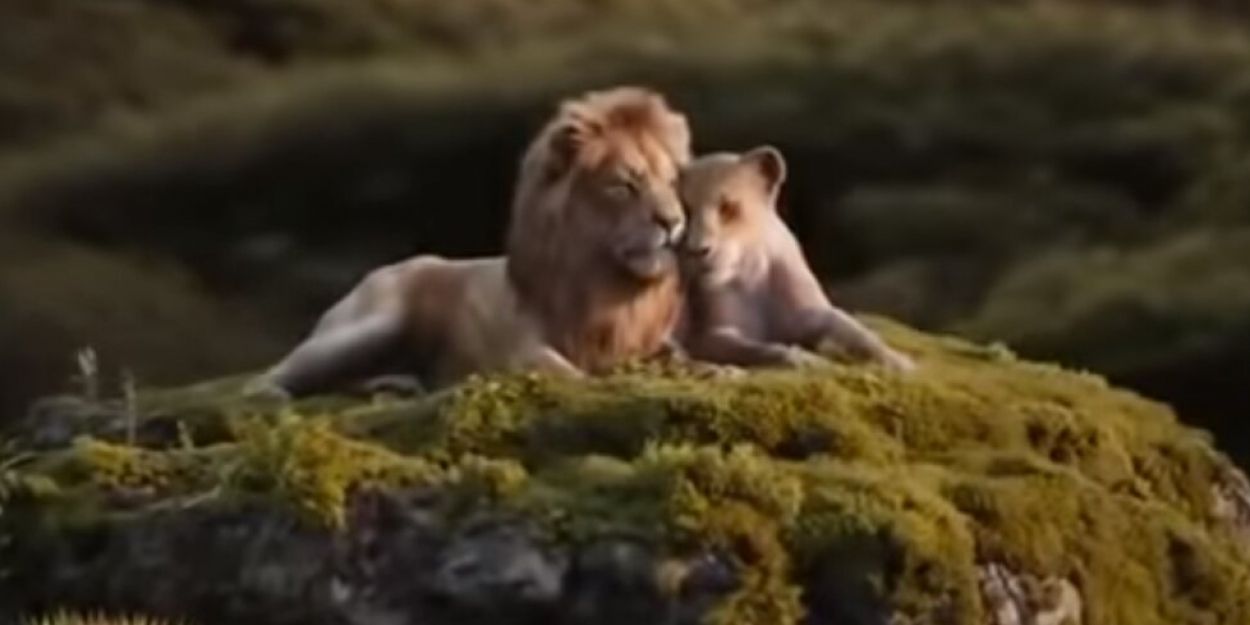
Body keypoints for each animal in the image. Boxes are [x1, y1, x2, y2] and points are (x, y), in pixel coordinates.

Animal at [254, 86, 690, 396]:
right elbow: (560, 369)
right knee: (274, 376)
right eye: (623, 186)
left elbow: (683, 358)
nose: (673, 222)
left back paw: (396, 383)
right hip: (375, 324)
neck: (608, 287)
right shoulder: (516, 348)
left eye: (672, 182)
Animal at [677, 146, 915, 371]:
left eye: (728, 208)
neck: (752, 275)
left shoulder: (811, 314)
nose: (698, 250)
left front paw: (900, 363)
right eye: (685, 210)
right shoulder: (713, 335)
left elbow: (855, 331)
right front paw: (811, 362)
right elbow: (764, 349)